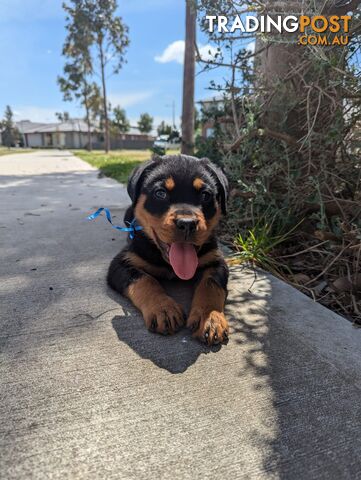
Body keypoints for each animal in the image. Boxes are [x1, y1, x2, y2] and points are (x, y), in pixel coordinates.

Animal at [108, 154, 229, 344]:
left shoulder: (216, 261)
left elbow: (211, 284)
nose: (187, 223)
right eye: (160, 193)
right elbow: (146, 280)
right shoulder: (121, 262)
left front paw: (210, 318)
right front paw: (163, 309)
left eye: (205, 195)